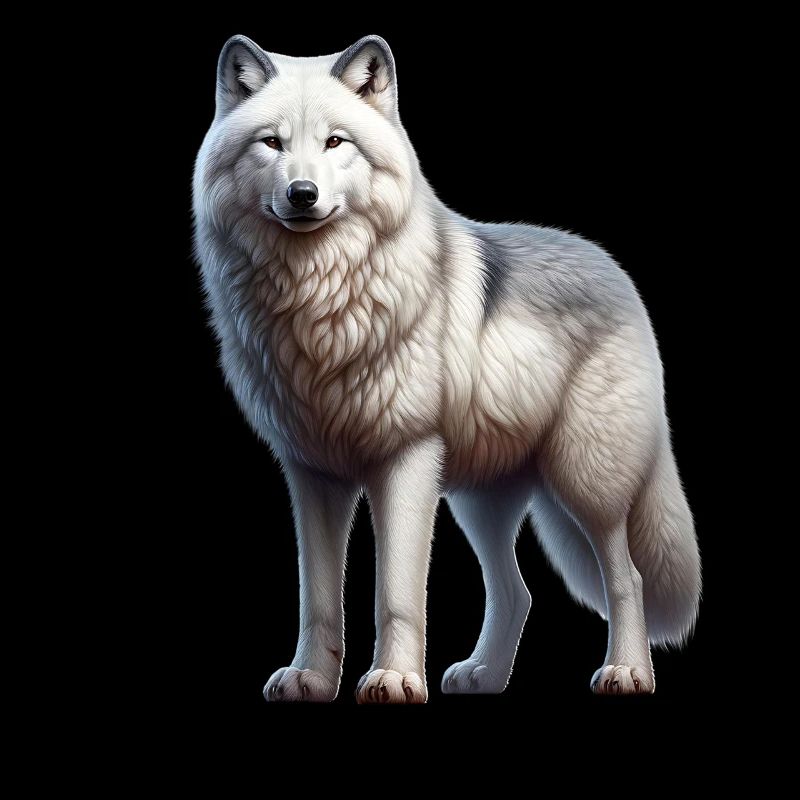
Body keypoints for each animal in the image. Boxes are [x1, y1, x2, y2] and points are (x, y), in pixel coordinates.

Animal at [193, 34, 701, 703]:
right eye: (272, 143)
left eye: (335, 142)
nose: (302, 194)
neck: (321, 302)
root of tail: (614, 269)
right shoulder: (312, 472)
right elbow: (319, 598)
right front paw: (311, 679)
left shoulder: (406, 458)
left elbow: (396, 592)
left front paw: (395, 678)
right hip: (480, 503)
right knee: (518, 592)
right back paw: (484, 676)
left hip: (585, 482)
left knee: (627, 577)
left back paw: (627, 673)